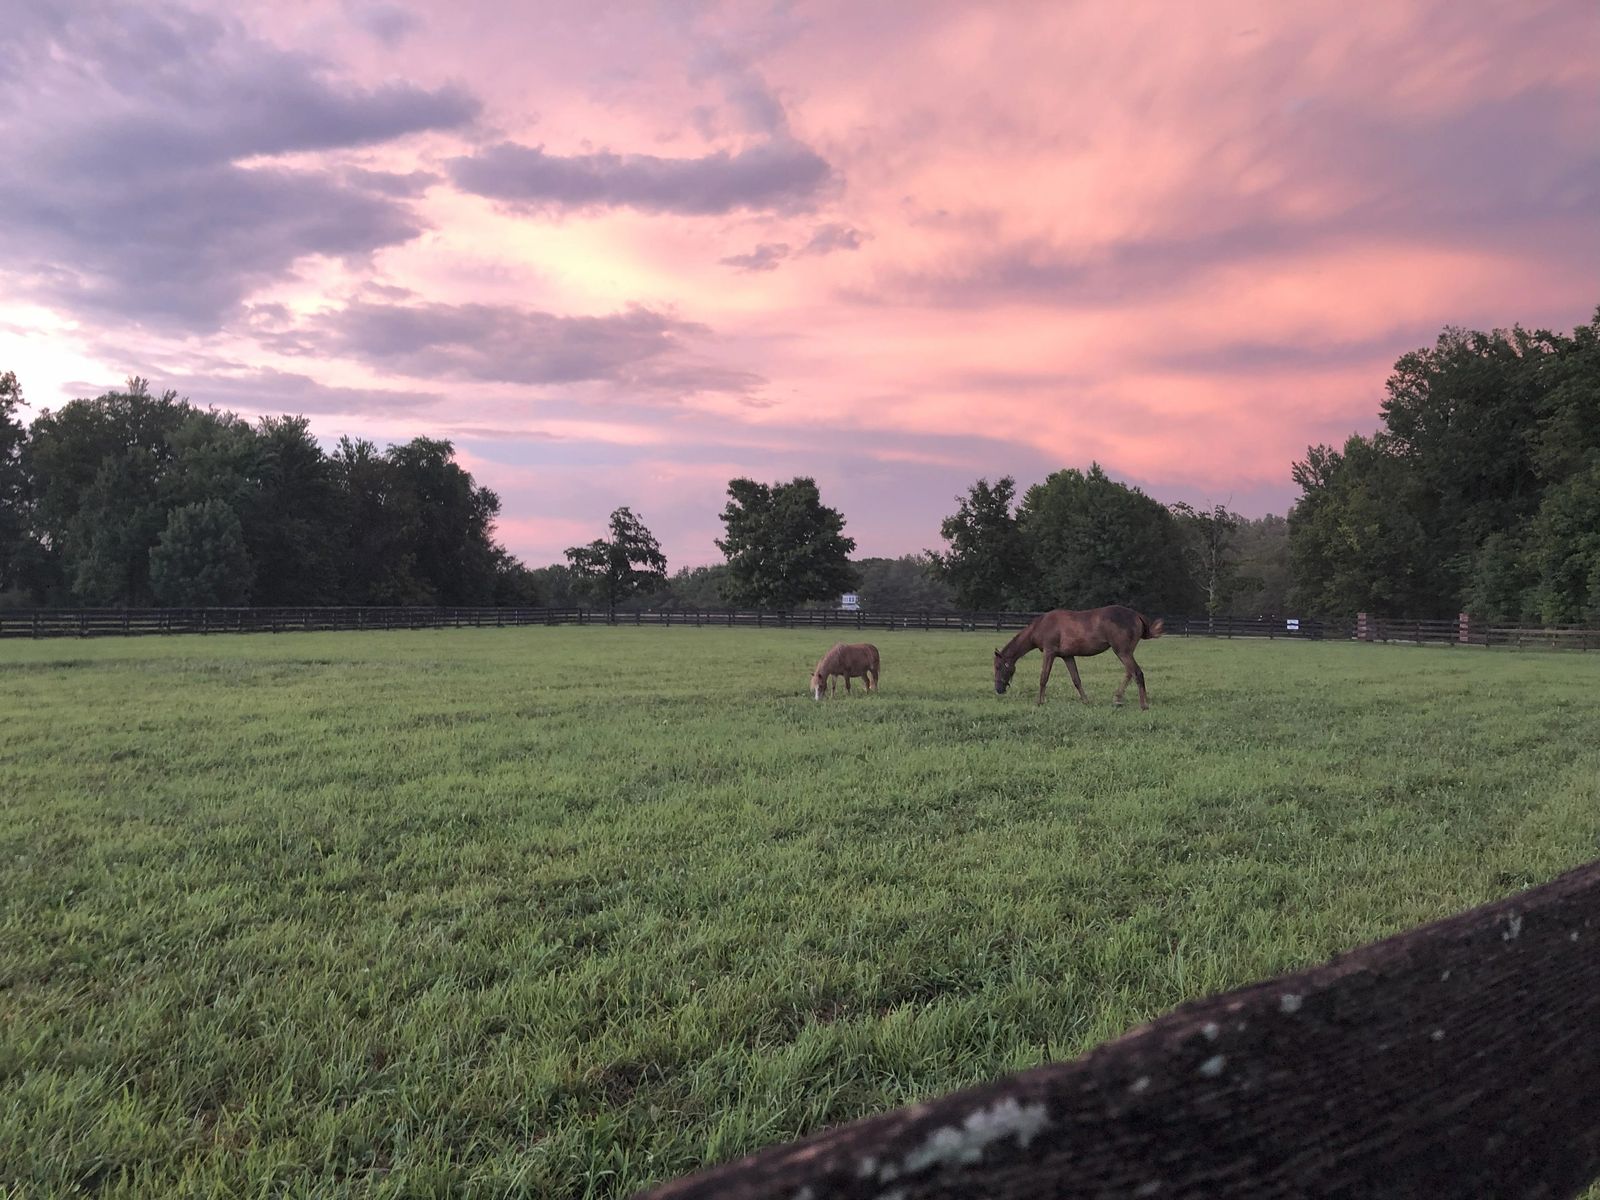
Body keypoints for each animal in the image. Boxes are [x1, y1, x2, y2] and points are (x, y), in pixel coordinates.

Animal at [993, 605, 1164, 708]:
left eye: (998, 667)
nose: (998, 689)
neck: (1041, 626)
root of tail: (1137, 615)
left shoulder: (1049, 652)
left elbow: (1043, 678)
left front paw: (1039, 701)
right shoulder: (1067, 656)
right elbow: (1076, 679)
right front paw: (1086, 701)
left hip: (1122, 652)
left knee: (1137, 673)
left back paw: (1143, 704)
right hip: (1126, 652)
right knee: (1130, 672)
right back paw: (1118, 698)